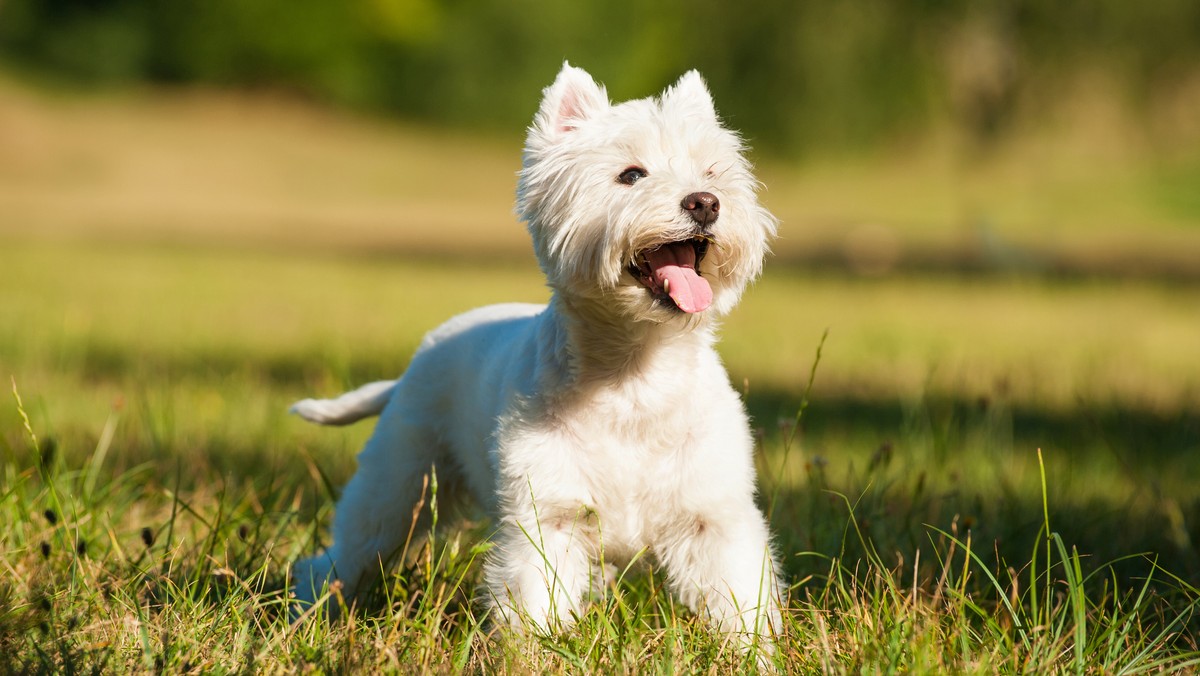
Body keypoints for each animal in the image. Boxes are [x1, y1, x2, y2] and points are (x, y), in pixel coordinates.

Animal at [288, 60, 777, 643]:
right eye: (631, 175)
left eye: (712, 172)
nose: (704, 203)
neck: (636, 374)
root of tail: (414, 364)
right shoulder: (548, 518)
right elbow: (535, 603)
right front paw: (539, 651)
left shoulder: (712, 518)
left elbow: (740, 601)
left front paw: (751, 652)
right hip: (399, 485)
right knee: (343, 556)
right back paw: (309, 612)